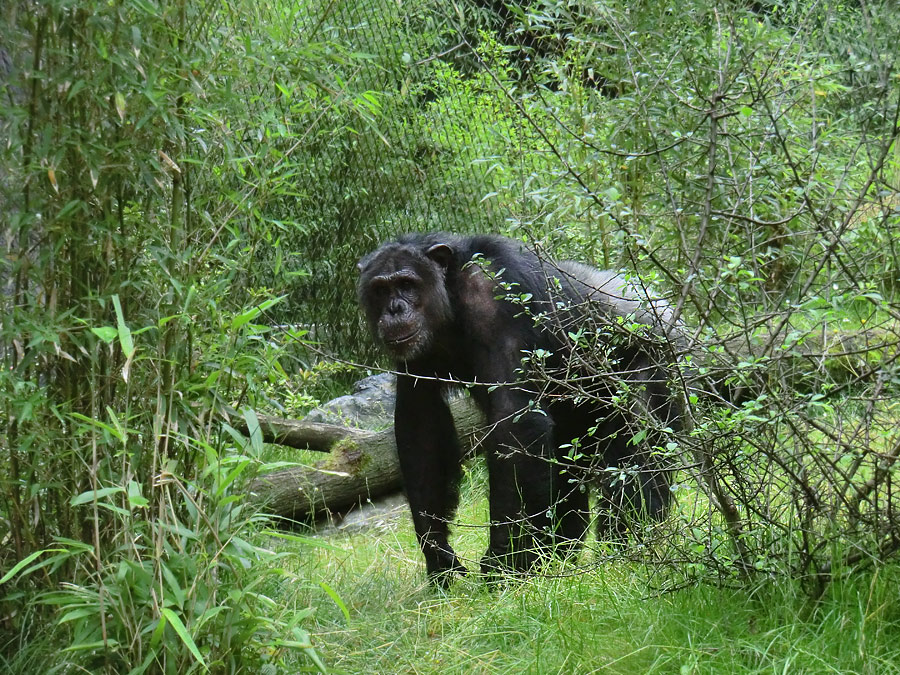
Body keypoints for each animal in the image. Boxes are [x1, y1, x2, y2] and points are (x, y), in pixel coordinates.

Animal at [356, 232, 684, 588]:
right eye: (381, 289)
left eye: (407, 283)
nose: (395, 308)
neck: (452, 295)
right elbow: (422, 425)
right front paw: (439, 556)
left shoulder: (498, 300)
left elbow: (515, 422)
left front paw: (502, 561)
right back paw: (558, 556)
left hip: (657, 366)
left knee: (637, 454)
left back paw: (626, 551)